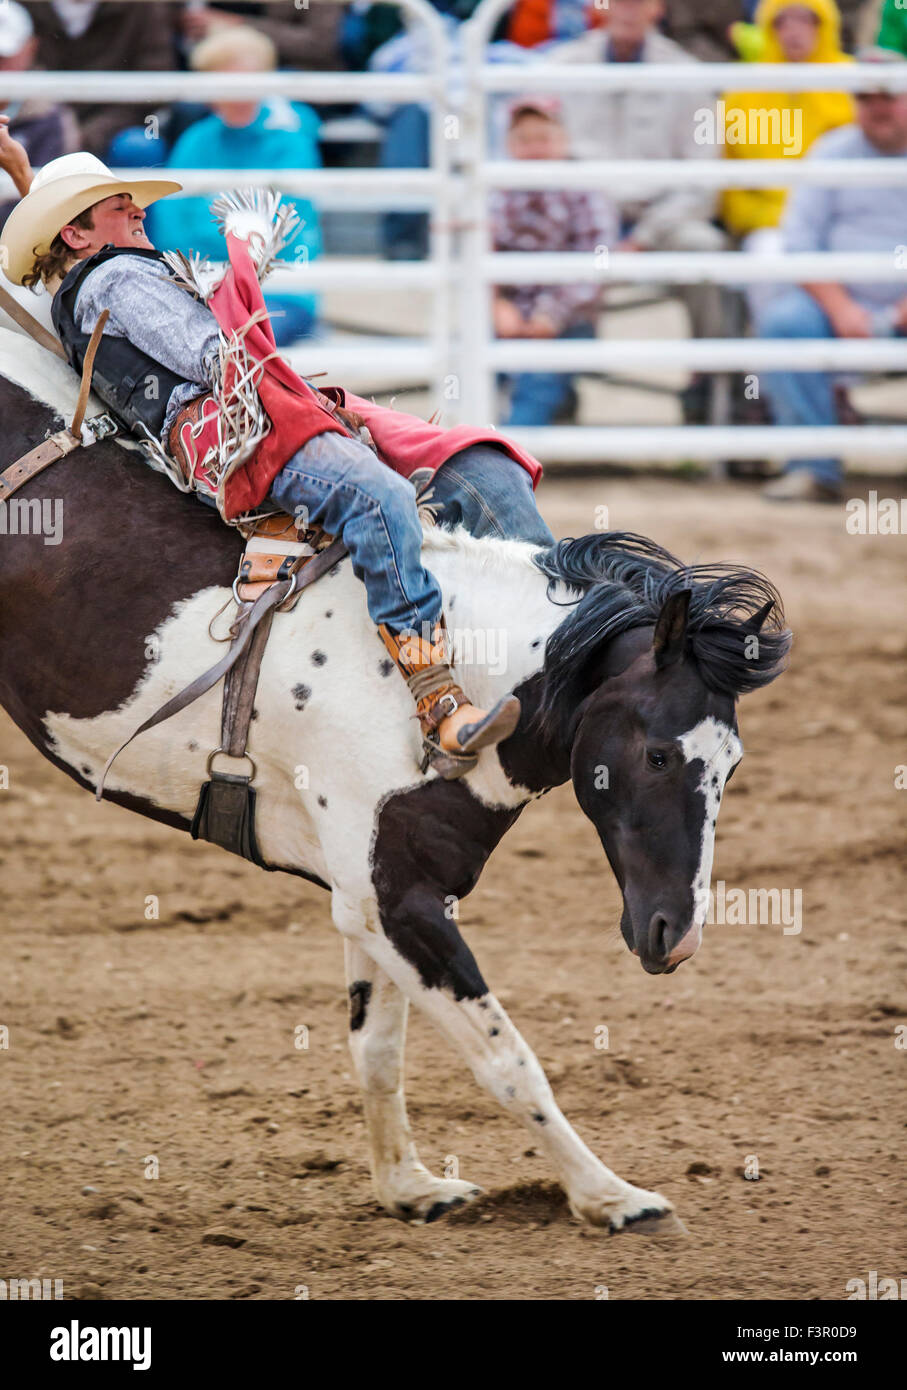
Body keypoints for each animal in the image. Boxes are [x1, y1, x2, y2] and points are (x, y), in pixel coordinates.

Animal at [0, 326, 791, 1232]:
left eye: (730, 765)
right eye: (658, 753)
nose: (677, 935)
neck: (459, 685)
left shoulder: (381, 896)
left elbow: (376, 1044)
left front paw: (409, 1185)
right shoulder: (395, 898)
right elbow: (507, 1059)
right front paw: (611, 1195)